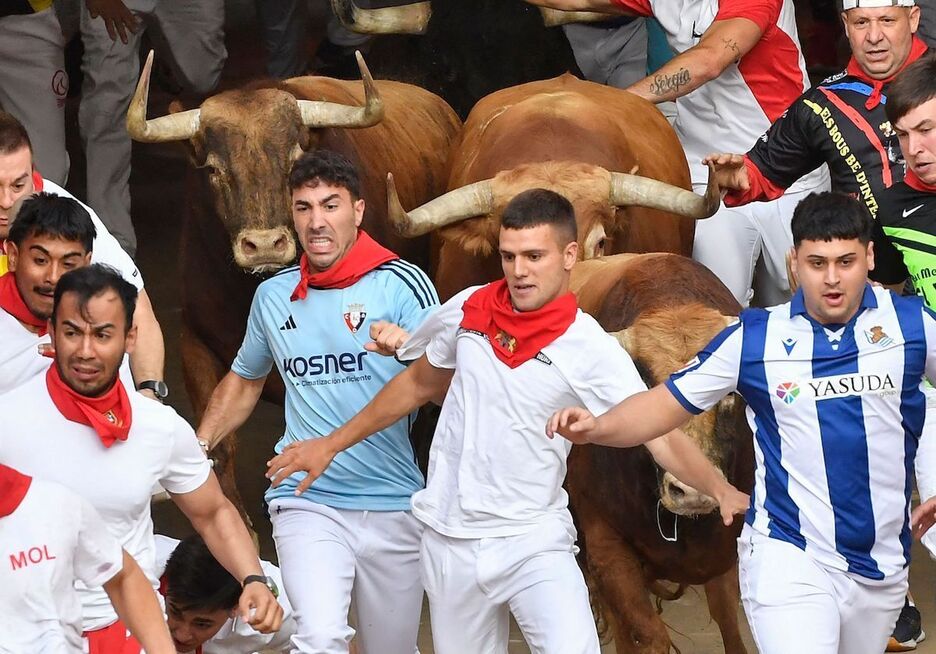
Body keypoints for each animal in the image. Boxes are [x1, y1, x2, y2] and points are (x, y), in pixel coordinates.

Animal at [568, 252, 756, 654]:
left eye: (729, 388)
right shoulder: (606, 551)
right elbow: (649, 634)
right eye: (642, 384)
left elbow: (729, 622)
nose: (694, 490)